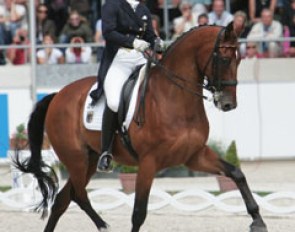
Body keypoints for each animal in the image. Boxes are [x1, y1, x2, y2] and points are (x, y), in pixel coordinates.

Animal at [14, 22, 268, 232]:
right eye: (224, 59)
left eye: (239, 60)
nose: (228, 104)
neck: (174, 98)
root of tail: (57, 95)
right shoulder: (148, 163)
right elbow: (138, 212)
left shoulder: (194, 156)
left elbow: (236, 173)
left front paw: (257, 220)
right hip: (76, 158)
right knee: (79, 195)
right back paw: (103, 225)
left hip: (89, 160)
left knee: (63, 200)